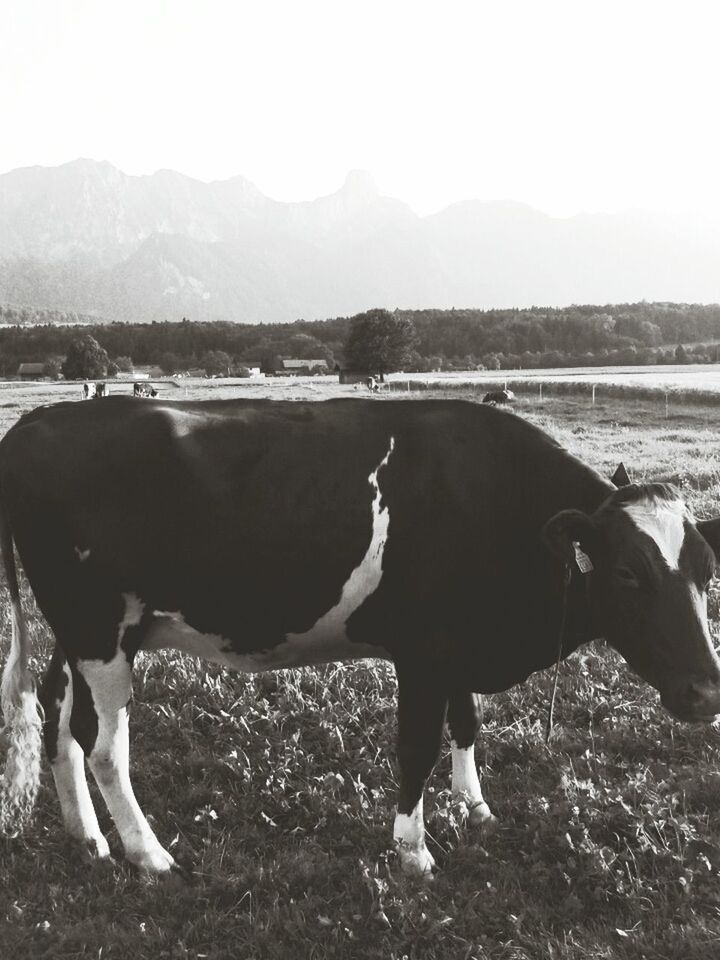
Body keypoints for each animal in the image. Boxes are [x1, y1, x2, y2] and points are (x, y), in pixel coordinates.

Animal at [1, 398, 720, 876]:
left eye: (707, 571)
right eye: (627, 573)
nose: (707, 692)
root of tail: (38, 419)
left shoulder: (455, 647)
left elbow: (466, 724)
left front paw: (475, 808)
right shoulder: (424, 652)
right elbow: (416, 747)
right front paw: (413, 851)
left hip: (85, 631)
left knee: (60, 716)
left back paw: (87, 837)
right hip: (99, 629)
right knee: (104, 745)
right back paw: (148, 853)